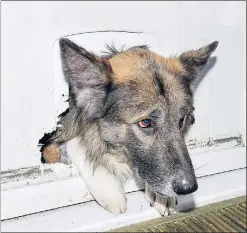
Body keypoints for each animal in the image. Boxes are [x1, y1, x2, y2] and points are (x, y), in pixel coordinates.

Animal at [38, 38, 218, 215]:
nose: (189, 188)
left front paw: (160, 196)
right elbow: (78, 144)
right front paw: (109, 188)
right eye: (145, 122)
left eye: (181, 120)